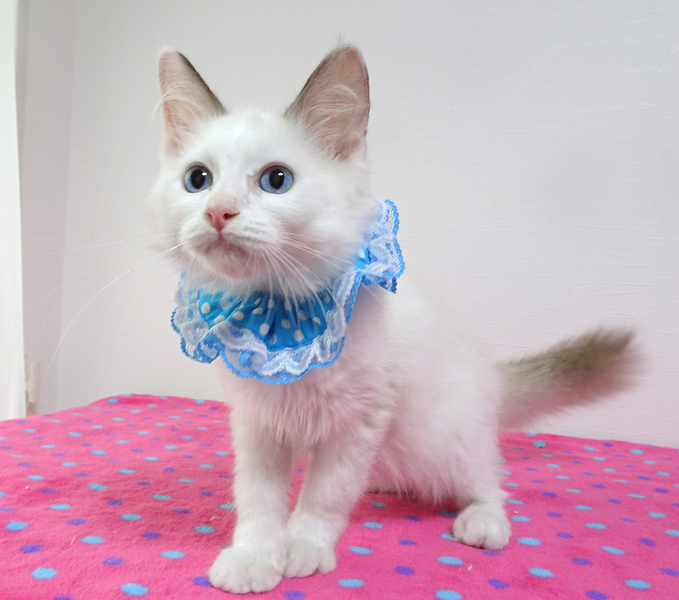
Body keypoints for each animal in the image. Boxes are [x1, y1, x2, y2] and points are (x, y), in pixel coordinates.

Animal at [149, 46, 635, 593]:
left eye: (276, 180)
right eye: (198, 180)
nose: (218, 212)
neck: (280, 311)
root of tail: (490, 374)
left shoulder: (359, 421)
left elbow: (324, 496)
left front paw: (303, 548)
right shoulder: (258, 424)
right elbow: (258, 498)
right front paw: (255, 556)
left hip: (447, 437)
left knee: (488, 480)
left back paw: (483, 520)